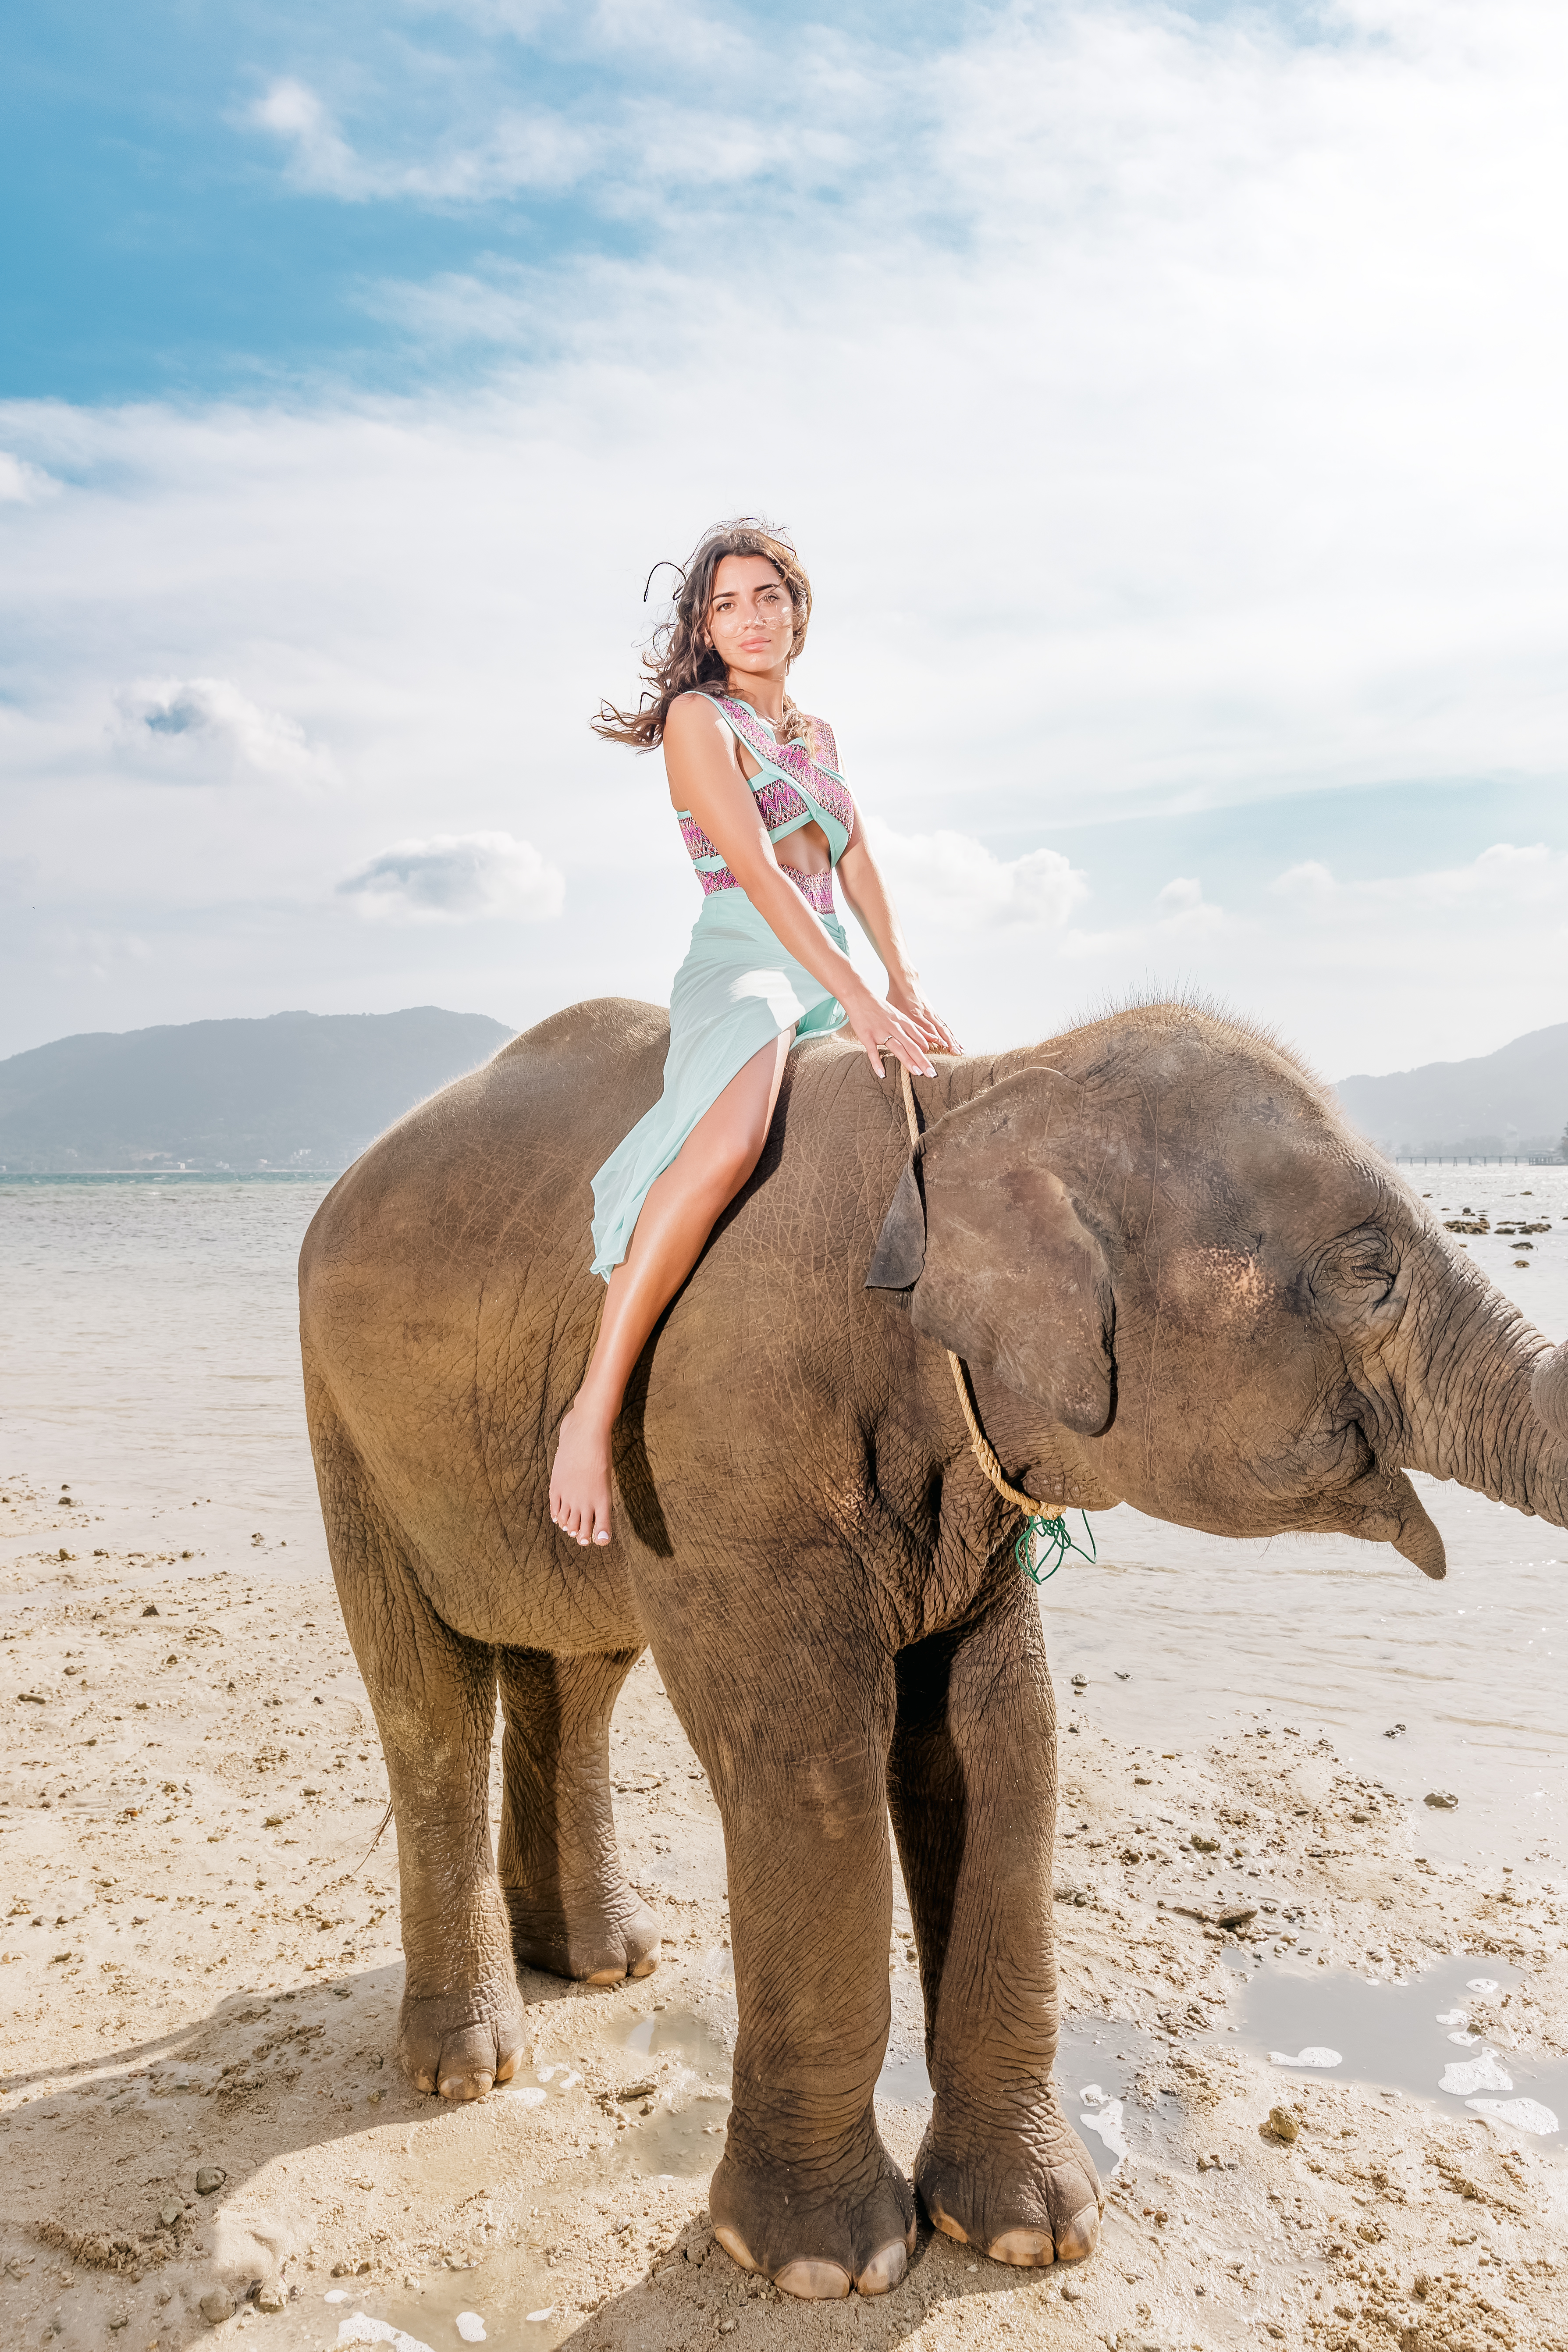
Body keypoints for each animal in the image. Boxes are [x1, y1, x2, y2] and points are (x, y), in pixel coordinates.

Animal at [297, 996, 1568, 2302]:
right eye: (1367, 1272)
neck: (981, 1095)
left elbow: (1003, 1741)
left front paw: (1028, 2235)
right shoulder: (727, 1451)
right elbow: (811, 1767)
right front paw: (826, 2264)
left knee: (577, 1672)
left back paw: (605, 1966)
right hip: (354, 1427)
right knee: (432, 1703)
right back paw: (470, 2063)